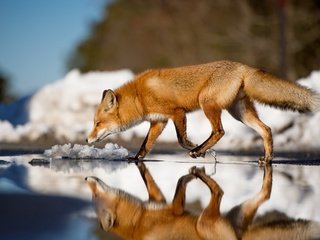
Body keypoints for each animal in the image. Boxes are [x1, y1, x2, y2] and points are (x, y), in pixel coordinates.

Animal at [85, 61, 320, 164]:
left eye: (97, 124)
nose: (87, 140)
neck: (139, 96)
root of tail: (242, 66)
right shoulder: (158, 121)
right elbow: (145, 145)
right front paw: (136, 158)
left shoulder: (177, 113)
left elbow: (181, 139)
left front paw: (195, 147)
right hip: (239, 113)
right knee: (266, 130)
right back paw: (268, 159)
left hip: (207, 103)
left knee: (219, 131)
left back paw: (199, 151)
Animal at [85, 162, 320, 239]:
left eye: (94, 195)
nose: (86, 178)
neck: (139, 221)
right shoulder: (164, 202)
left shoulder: (172, 208)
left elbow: (179, 187)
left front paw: (188, 177)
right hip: (229, 216)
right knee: (256, 195)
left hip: (206, 222)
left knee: (220, 192)